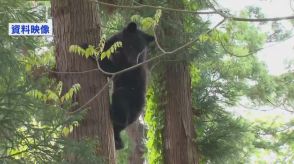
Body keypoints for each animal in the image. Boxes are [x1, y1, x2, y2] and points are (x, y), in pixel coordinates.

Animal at [97, 22, 155, 150]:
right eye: (132, 46)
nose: (134, 63)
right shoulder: (114, 44)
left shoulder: (124, 68)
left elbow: (110, 70)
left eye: (141, 51)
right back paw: (118, 142)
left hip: (131, 97)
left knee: (120, 98)